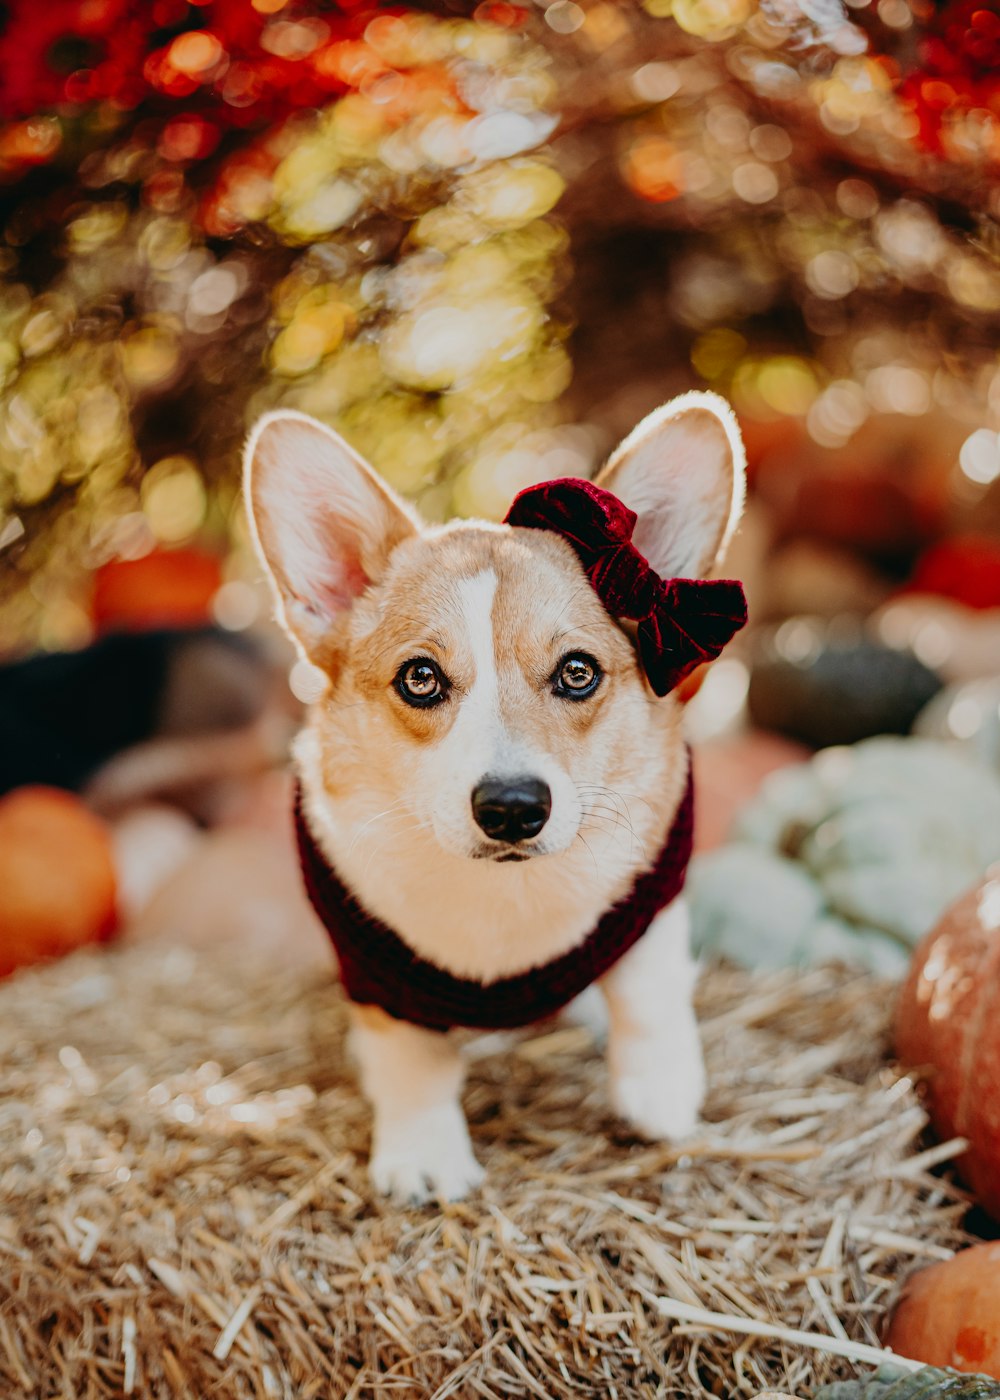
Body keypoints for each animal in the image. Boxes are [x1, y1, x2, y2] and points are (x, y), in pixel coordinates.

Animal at [240, 392, 739, 1204]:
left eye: (577, 672)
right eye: (420, 678)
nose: (511, 809)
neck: (503, 897)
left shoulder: (656, 885)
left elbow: (648, 991)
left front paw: (660, 1097)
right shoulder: (374, 970)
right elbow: (412, 1062)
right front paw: (424, 1156)